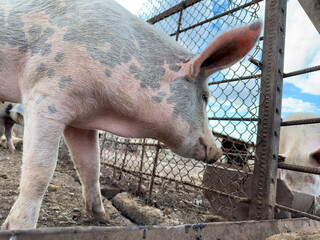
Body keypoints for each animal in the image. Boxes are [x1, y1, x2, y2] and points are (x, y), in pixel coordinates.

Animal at [0, 0, 262, 229]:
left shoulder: (81, 121)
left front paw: (102, 217)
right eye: (205, 96)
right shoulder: (46, 95)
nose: (217, 152)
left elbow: (91, 166)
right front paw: (19, 229)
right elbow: (41, 171)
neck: (108, 109)